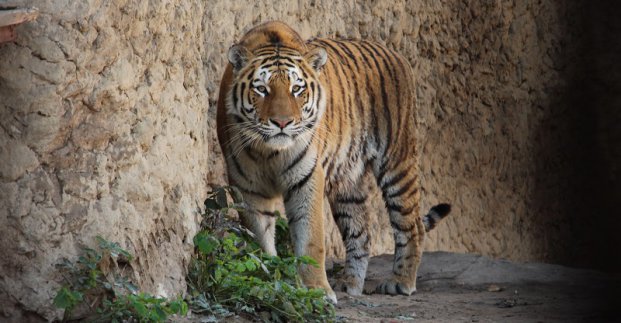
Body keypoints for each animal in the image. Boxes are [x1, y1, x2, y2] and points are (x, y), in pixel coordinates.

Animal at [217, 21, 450, 306]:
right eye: (261, 89)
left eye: (297, 89)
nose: (282, 123)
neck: (269, 152)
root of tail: (396, 54)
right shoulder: (248, 188)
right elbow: (259, 239)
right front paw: (268, 281)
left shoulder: (307, 178)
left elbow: (311, 239)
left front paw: (316, 290)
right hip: (347, 183)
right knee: (361, 232)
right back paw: (350, 283)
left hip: (398, 161)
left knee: (412, 224)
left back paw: (400, 282)